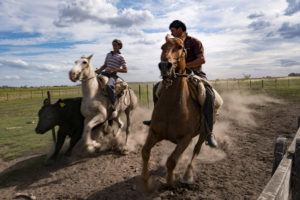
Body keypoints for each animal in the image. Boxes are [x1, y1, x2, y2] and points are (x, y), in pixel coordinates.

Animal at [141, 34, 223, 191]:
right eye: (162, 47)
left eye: (180, 47)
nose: (164, 66)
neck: (172, 106)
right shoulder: (154, 132)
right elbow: (145, 152)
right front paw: (146, 183)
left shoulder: (186, 138)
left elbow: (172, 160)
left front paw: (170, 183)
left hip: (203, 133)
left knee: (196, 150)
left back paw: (187, 175)